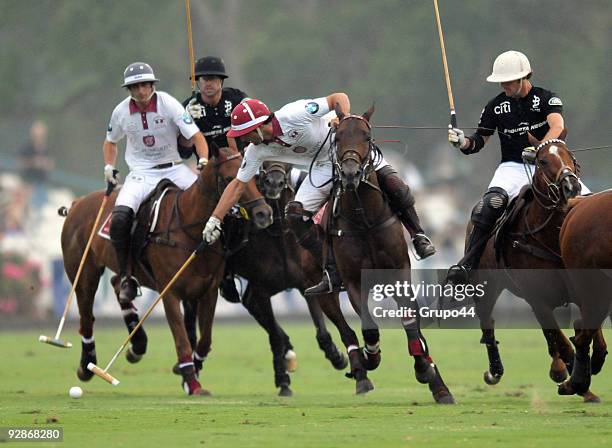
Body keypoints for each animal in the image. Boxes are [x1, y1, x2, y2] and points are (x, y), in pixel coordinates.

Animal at [61, 148, 268, 396]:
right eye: (229, 179)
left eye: (256, 177)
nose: (264, 213)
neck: (189, 229)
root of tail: (77, 202)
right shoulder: (170, 293)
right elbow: (182, 340)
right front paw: (192, 383)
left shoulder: (208, 291)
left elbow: (205, 340)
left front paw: (190, 373)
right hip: (83, 272)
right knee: (86, 317)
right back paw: (86, 366)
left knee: (118, 284)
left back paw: (137, 344)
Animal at [322, 107, 452, 404]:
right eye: (338, 137)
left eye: (367, 136)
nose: (350, 173)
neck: (365, 220)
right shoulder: (354, 281)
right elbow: (368, 327)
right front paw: (371, 357)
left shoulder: (400, 273)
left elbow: (411, 322)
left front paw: (425, 370)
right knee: (344, 327)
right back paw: (360, 371)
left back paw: (437, 382)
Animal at [470, 137, 604, 402]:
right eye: (542, 161)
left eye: (570, 156)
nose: (571, 187)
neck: (552, 236)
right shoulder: (537, 297)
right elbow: (564, 343)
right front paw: (574, 379)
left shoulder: (584, 288)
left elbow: (591, 336)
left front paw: (589, 369)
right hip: (487, 284)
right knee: (487, 319)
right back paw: (496, 370)